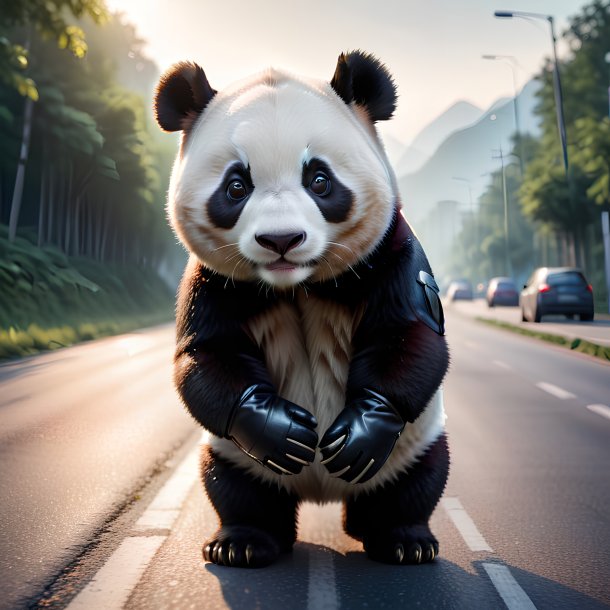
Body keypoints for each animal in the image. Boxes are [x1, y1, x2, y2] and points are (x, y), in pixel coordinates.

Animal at [152, 51, 446, 564]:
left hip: (411, 446)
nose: (281, 239)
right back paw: (243, 543)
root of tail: (322, 495)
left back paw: (401, 541)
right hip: (234, 456)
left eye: (319, 180)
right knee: (235, 486)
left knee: (414, 482)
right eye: (236, 186)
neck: (296, 285)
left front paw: (359, 432)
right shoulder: (213, 279)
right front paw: (278, 427)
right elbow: (206, 356)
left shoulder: (389, 251)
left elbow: (410, 337)